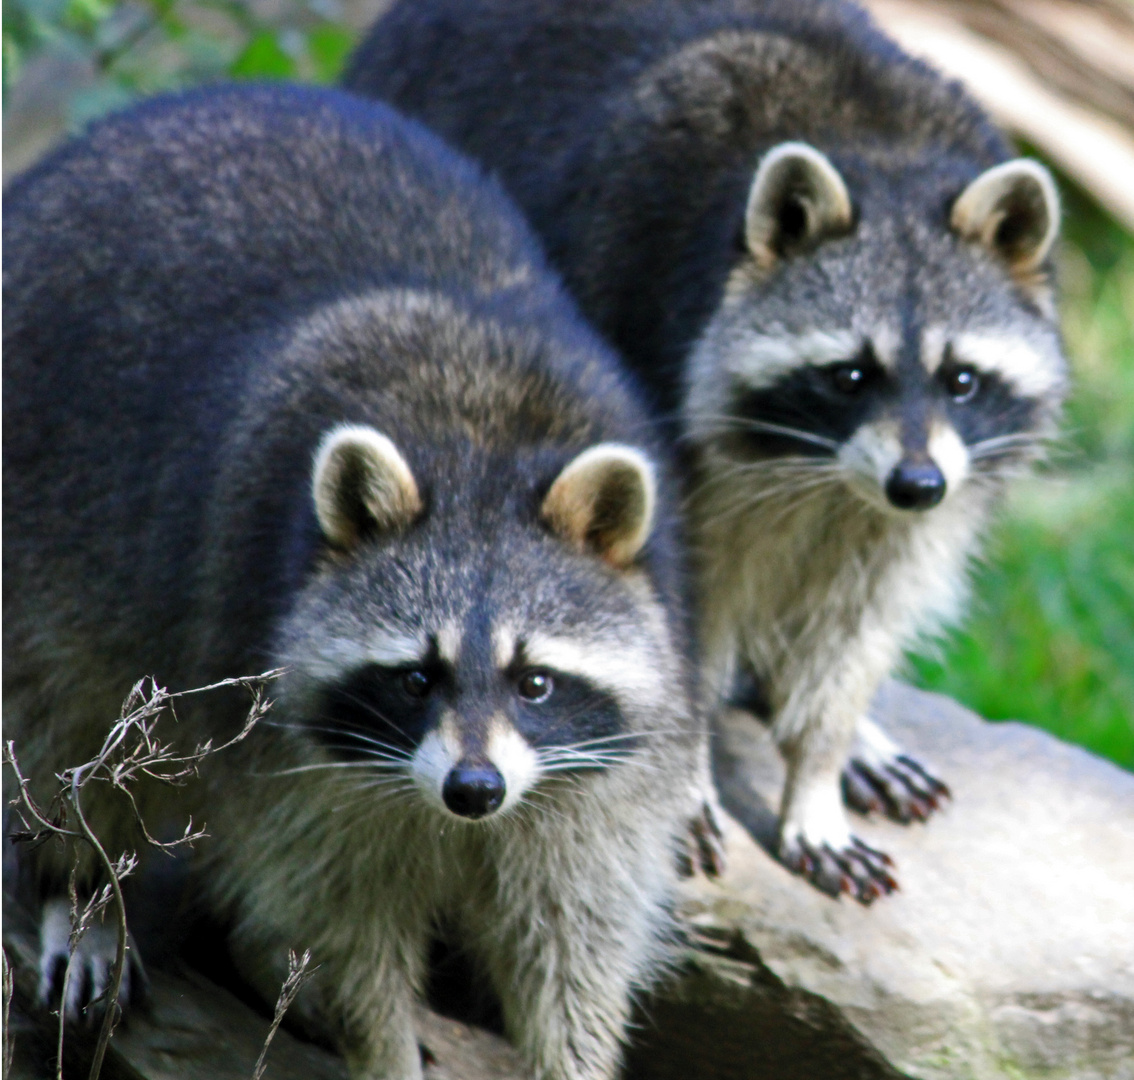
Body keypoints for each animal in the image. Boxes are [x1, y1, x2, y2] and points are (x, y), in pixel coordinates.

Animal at [2, 86, 707, 1080]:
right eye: (416, 677)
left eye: (535, 681)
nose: (475, 789)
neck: (479, 443)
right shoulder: (281, 737)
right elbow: (337, 926)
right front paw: (381, 1047)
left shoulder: (611, 764)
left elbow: (576, 933)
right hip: (46, 543)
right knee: (64, 723)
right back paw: (82, 888)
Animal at [347, 0, 1070, 893]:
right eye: (850, 376)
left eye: (962, 380)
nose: (916, 483)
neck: (879, 149)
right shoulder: (649, 337)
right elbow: (666, 618)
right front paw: (688, 778)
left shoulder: (934, 491)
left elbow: (866, 612)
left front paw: (821, 764)